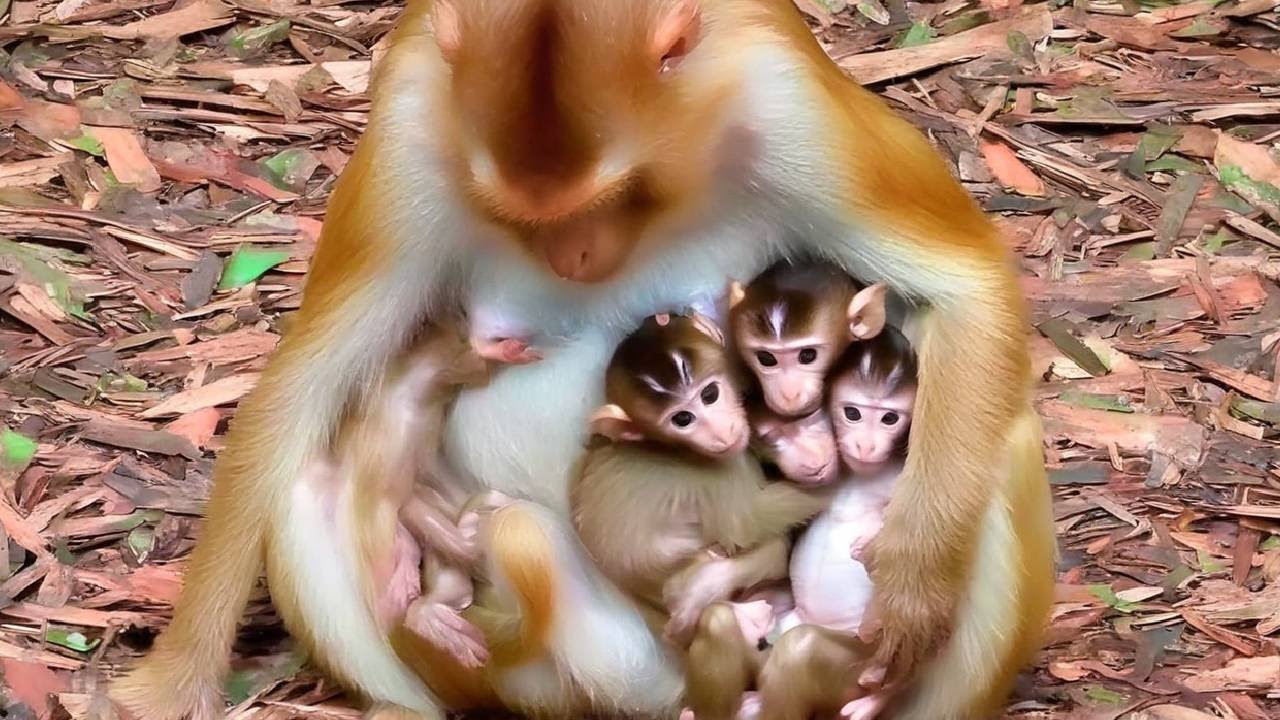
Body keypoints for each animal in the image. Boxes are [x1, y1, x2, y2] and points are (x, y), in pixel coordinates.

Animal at [110, 2, 1057, 719]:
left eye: (621, 193)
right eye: (517, 215)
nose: (574, 257)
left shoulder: (784, 95)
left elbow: (964, 289)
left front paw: (914, 584)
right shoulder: (410, 114)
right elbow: (302, 387)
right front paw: (169, 686)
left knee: (999, 446)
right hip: (544, 670)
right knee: (313, 483)